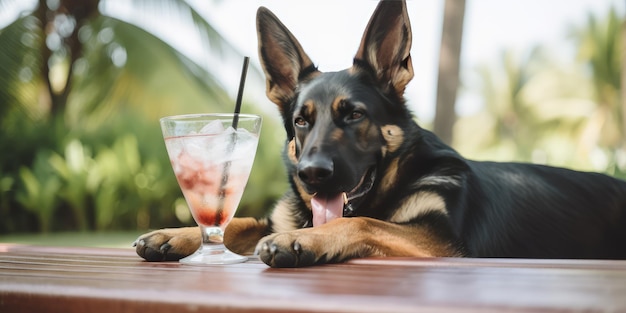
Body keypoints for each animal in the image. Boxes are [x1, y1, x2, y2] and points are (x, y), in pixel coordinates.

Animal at [135, 1, 624, 266]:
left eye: (354, 115)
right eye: (301, 121)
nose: (312, 174)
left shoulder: (441, 245)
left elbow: (364, 221)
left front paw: (304, 240)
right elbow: (239, 221)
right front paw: (176, 234)